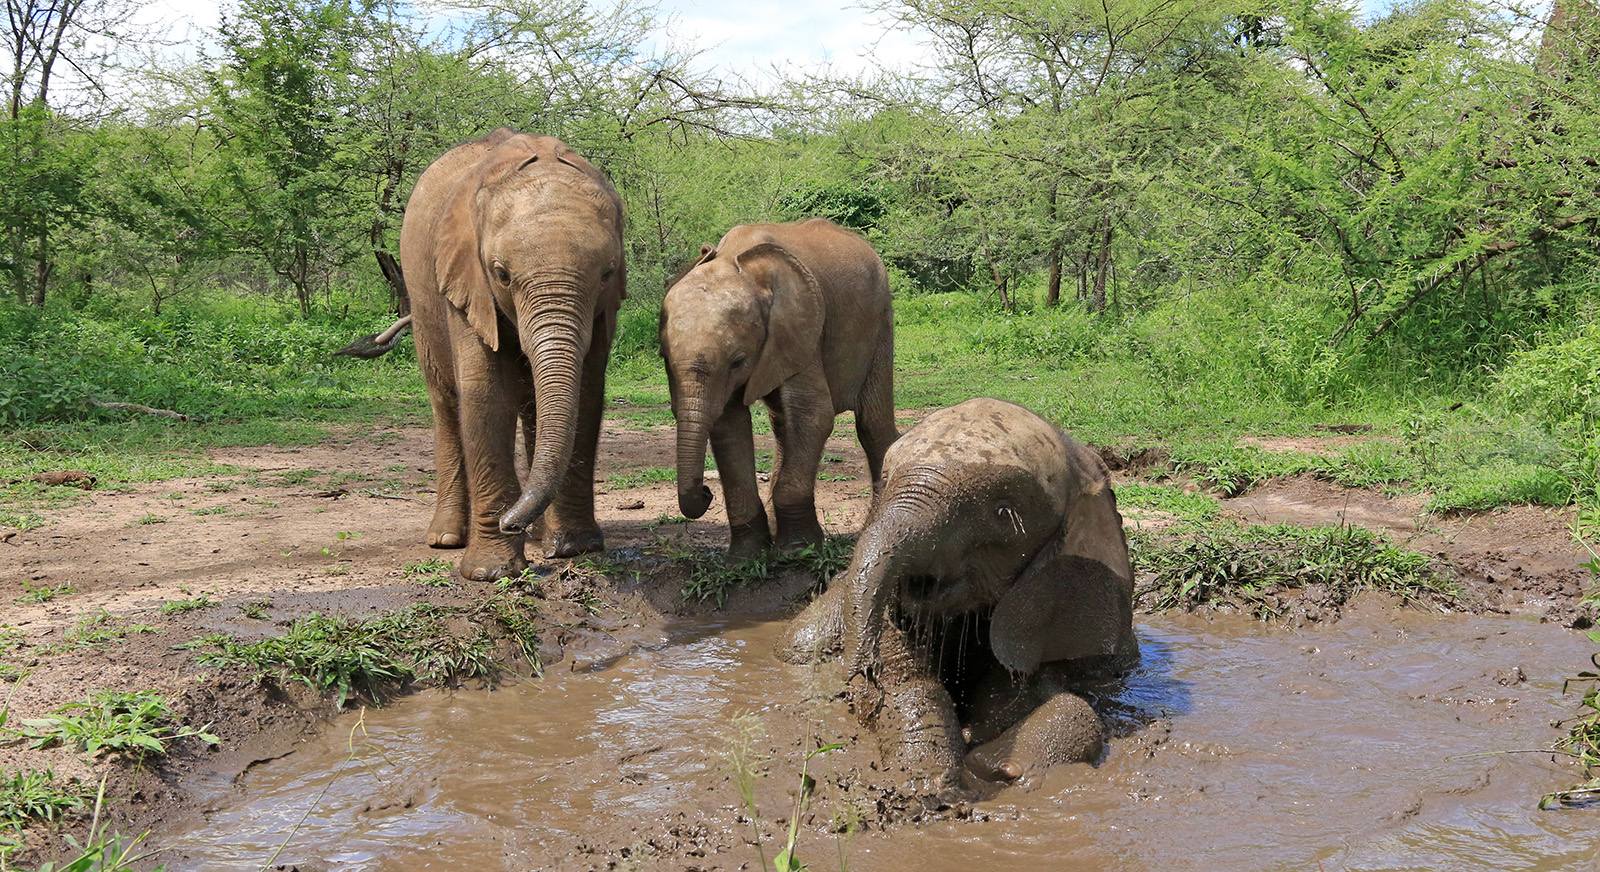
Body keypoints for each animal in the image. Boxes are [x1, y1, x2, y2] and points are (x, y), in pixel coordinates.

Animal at [400, 127, 624, 579]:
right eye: (501, 274)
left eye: (608, 273)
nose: (509, 521)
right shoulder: (467, 282)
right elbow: (485, 394)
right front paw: (491, 572)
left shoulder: (602, 309)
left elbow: (588, 392)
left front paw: (573, 549)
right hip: (422, 304)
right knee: (445, 404)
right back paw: (446, 539)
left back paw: (538, 535)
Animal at [656, 217, 896, 556]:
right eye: (663, 358)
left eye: (738, 362)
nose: (705, 492)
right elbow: (729, 426)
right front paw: (746, 557)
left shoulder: (800, 329)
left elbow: (813, 415)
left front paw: (796, 551)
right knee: (784, 427)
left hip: (880, 321)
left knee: (872, 424)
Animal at [777, 398, 1139, 793]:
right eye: (883, 483)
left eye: (1004, 512)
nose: (863, 671)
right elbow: (908, 682)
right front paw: (923, 777)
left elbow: (1038, 693)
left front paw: (991, 763)